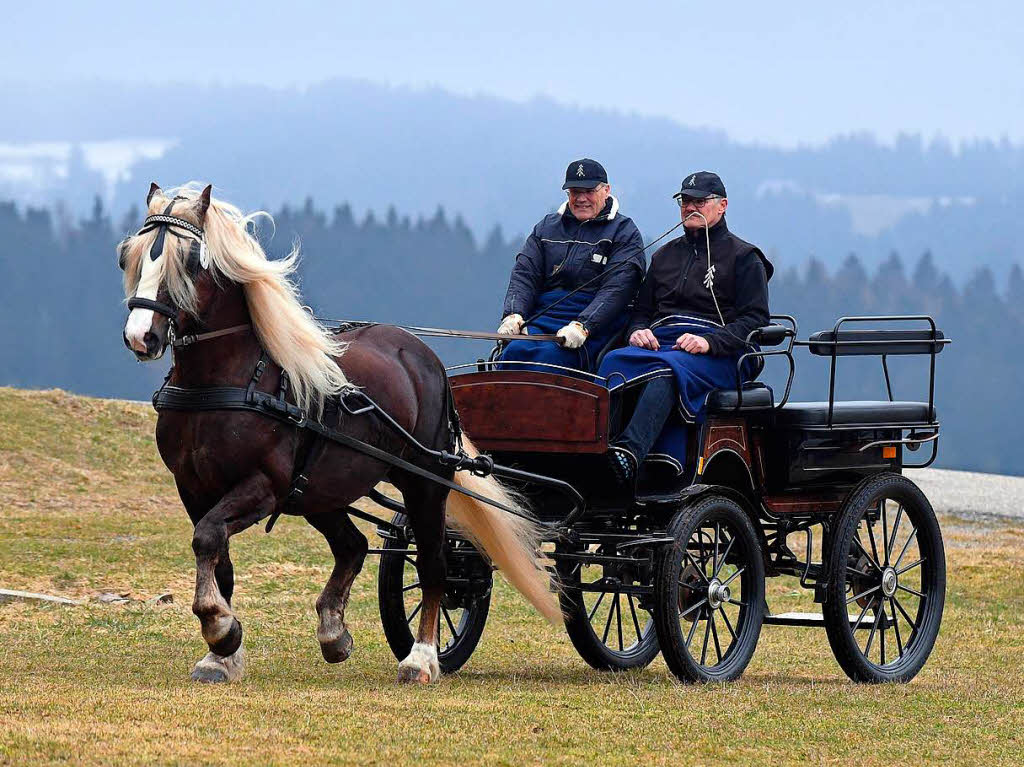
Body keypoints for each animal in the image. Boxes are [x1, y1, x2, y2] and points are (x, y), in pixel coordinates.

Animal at [119, 184, 561, 684]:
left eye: (192, 261)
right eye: (130, 255)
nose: (141, 336)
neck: (223, 382)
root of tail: (421, 355)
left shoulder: (263, 486)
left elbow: (208, 538)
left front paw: (220, 628)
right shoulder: (193, 488)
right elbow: (217, 555)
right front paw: (221, 653)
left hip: (424, 481)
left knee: (433, 564)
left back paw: (422, 658)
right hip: (319, 489)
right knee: (353, 546)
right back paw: (334, 633)